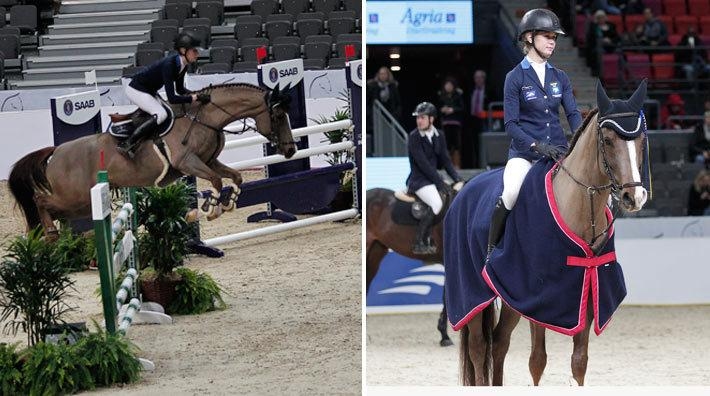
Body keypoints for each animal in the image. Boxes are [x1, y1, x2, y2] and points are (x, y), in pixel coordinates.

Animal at [9, 82, 298, 237]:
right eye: (277, 115)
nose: (290, 150)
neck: (204, 117)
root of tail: (56, 151)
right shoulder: (188, 162)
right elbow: (216, 181)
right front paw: (208, 209)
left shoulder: (209, 161)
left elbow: (234, 176)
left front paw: (227, 204)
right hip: (75, 197)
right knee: (40, 200)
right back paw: (49, 234)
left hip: (78, 204)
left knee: (52, 210)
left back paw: (48, 236)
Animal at [448, 79, 652, 386]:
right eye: (607, 140)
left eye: (639, 141)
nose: (634, 197)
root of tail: (464, 189)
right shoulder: (538, 297)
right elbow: (537, 361)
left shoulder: (586, 289)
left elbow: (579, 362)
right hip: (471, 293)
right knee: (478, 347)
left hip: (510, 297)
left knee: (499, 343)